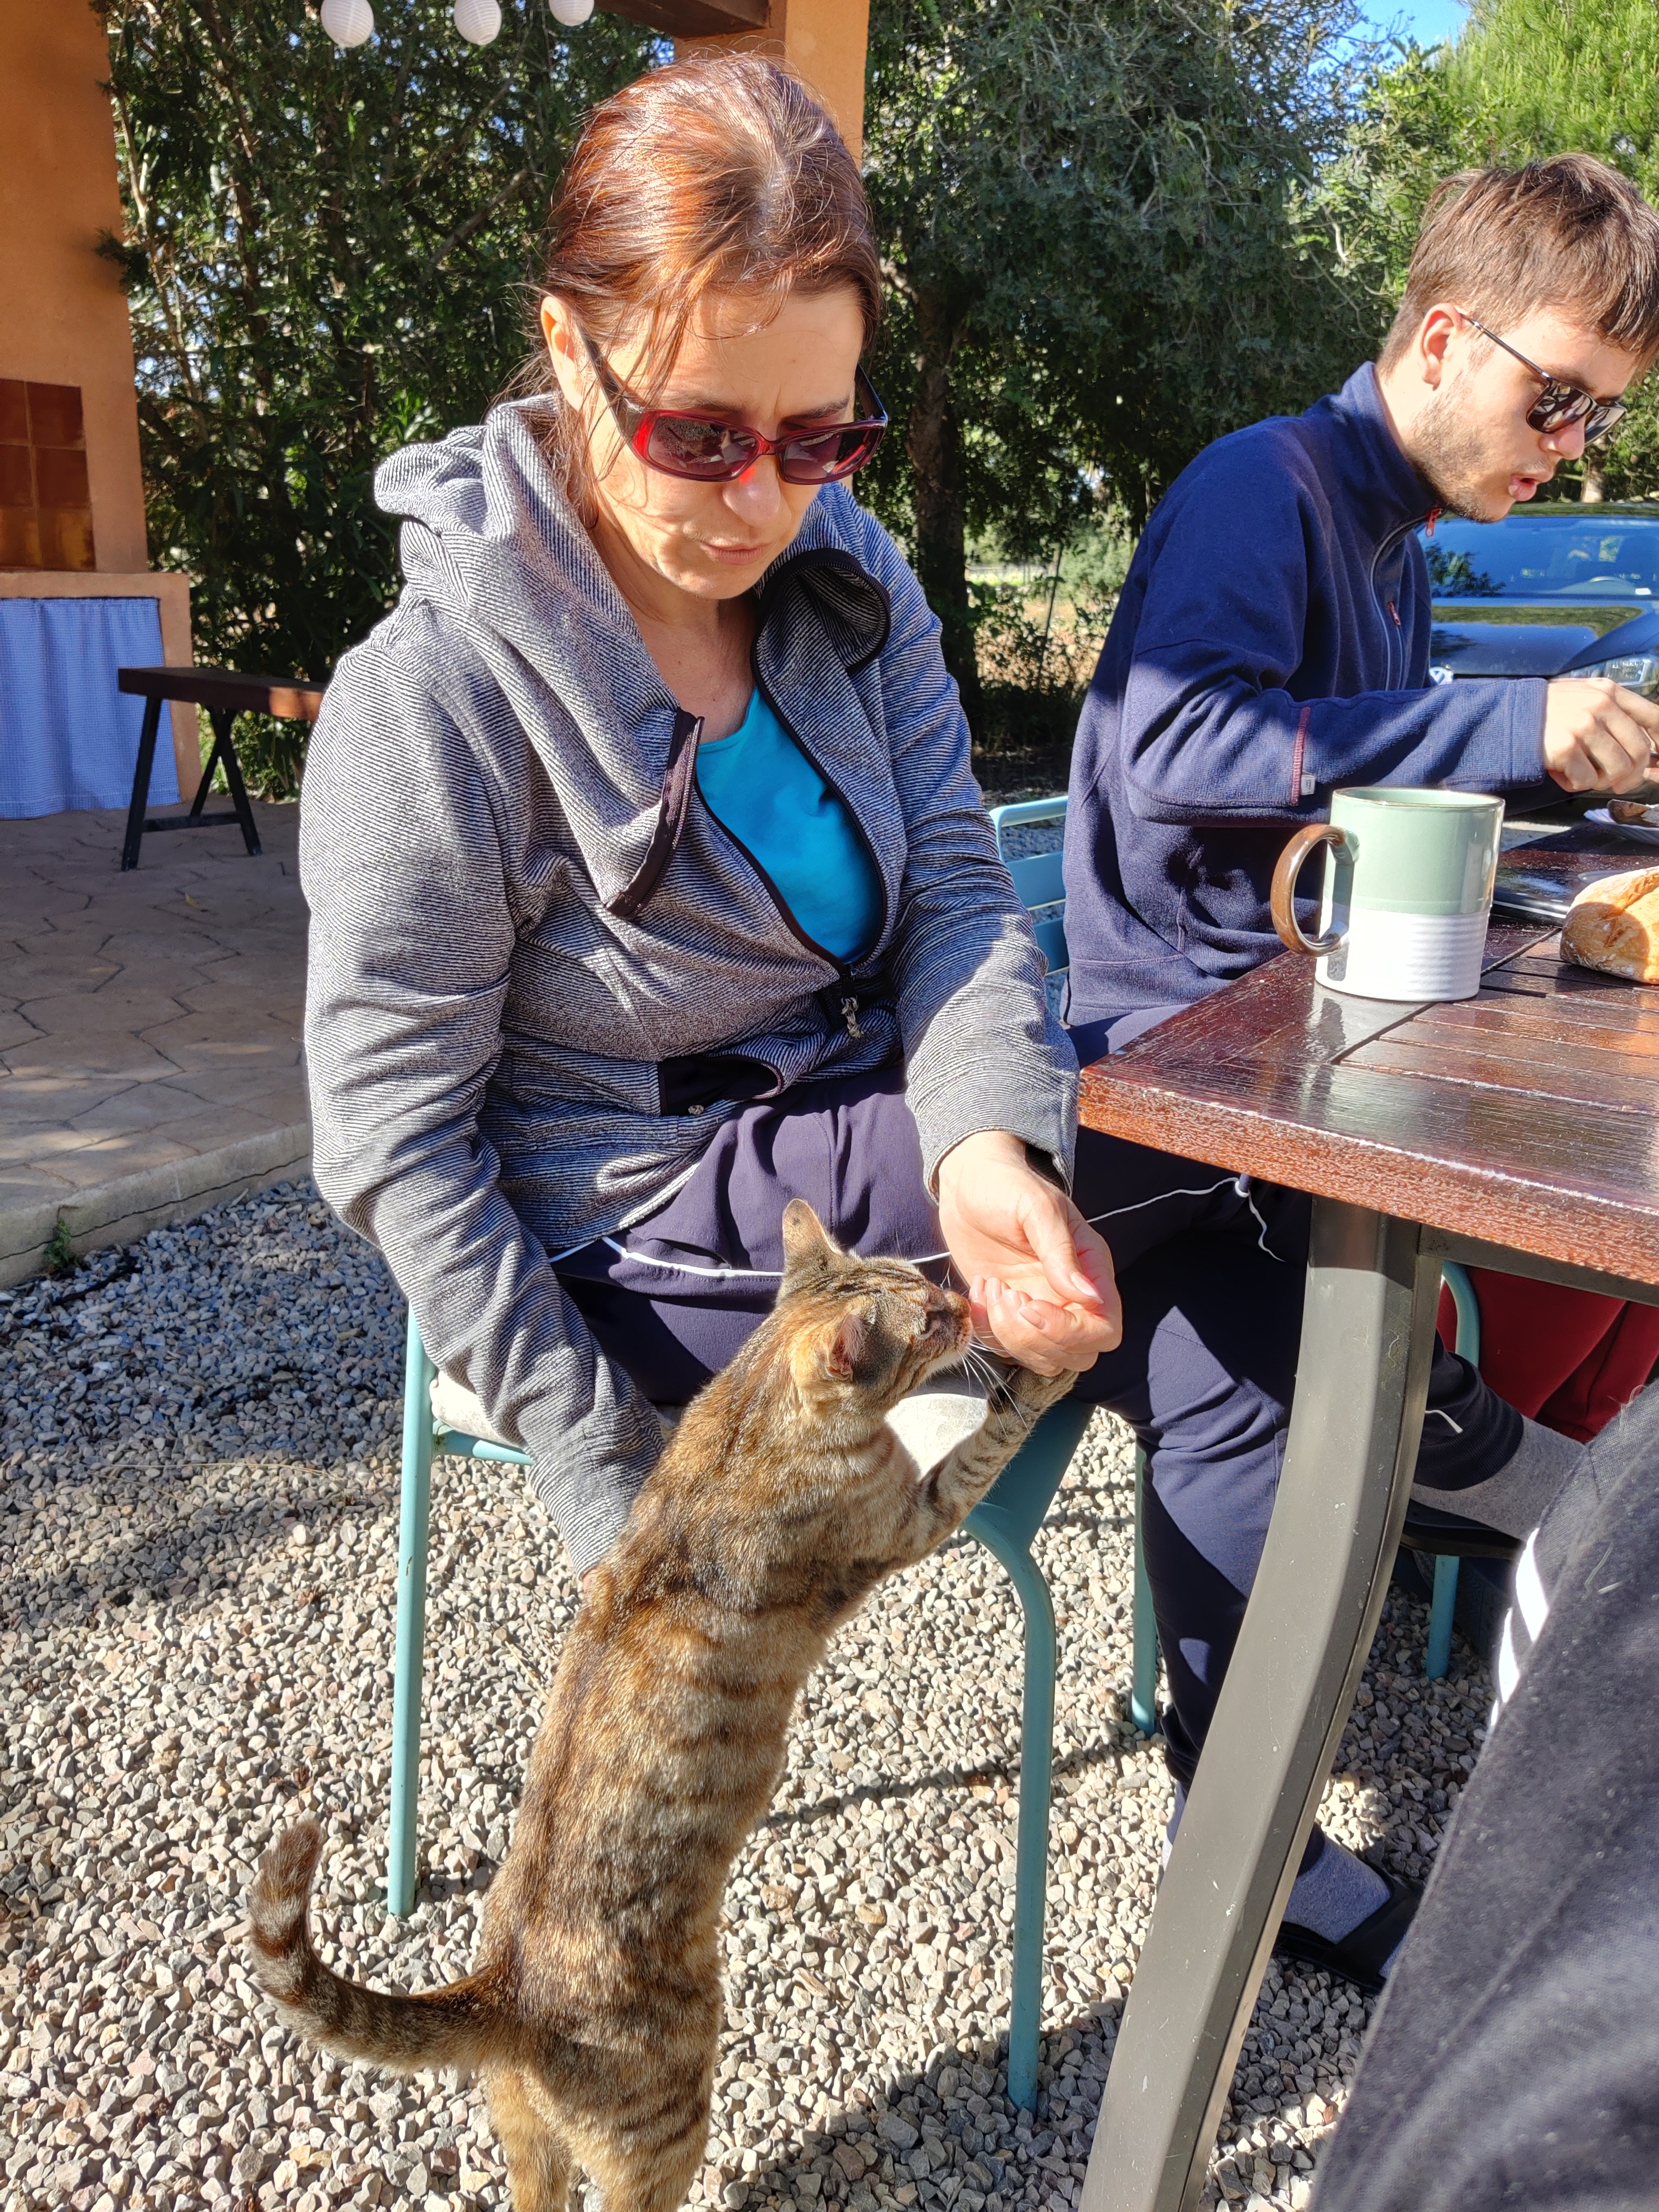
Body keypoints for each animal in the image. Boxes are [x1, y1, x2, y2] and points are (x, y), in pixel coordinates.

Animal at [247, 1198, 1075, 2212]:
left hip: (530, 2143)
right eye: (925, 1321)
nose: (963, 1302)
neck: (754, 1411)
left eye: (921, 1279)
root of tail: (506, 1989)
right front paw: (1049, 1369)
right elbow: (989, 1436)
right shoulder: (914, 1516)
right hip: (667, 2128)